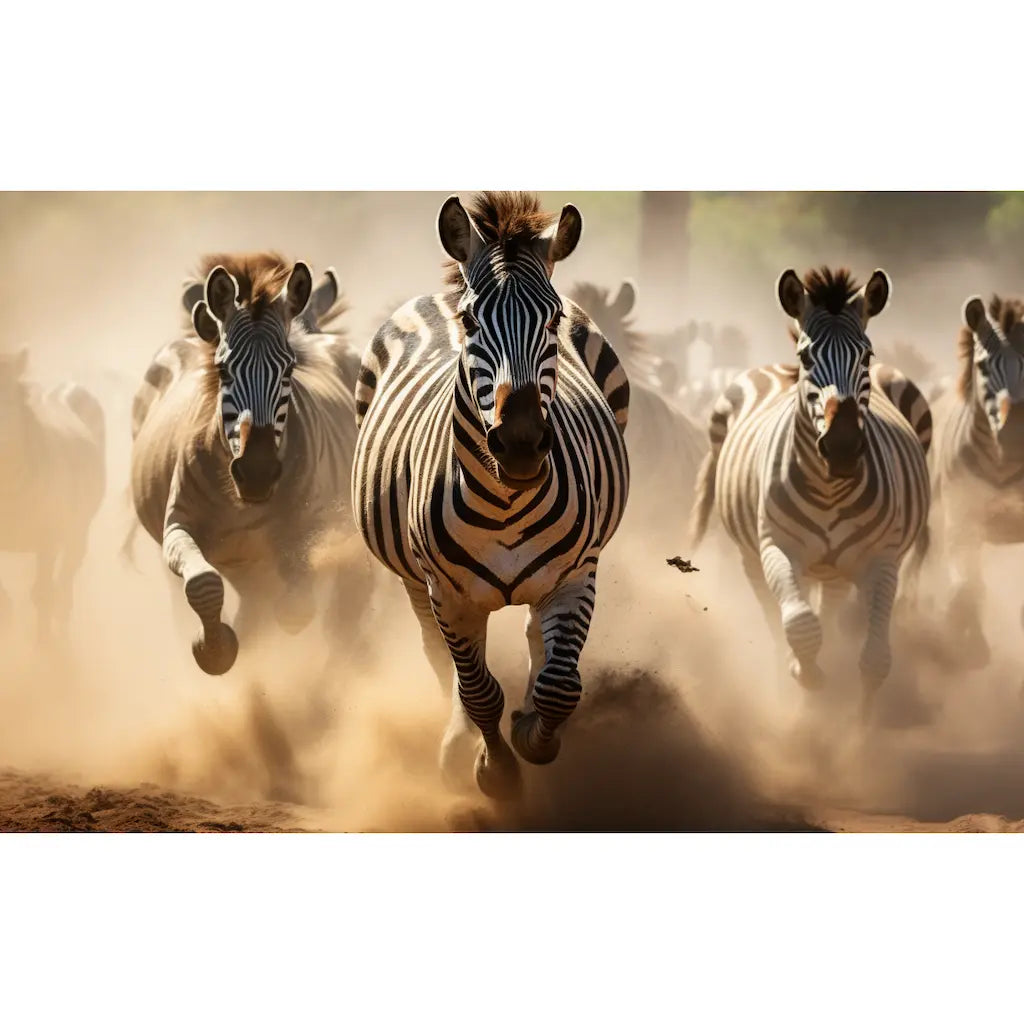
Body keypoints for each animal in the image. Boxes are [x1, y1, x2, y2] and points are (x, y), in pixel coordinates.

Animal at [129, 251, 363, 675]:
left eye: (289, 369)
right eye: (222, 369)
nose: (257, 473)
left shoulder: (309, 533)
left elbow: (294, 608)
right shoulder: (177, 527)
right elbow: (202, 584)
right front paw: (215, 648)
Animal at [352, 191, 630, 800]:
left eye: (552, 319)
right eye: (471, 320)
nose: (521, 445)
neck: (506, 505)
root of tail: (442, 287)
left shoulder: (577, 575)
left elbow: (560, 685)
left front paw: (531, 733)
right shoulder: (448, 593)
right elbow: (477, 691)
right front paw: (493, 769)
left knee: (534, 641)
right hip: (416, 582)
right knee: (441, 660)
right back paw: (456, 741)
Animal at [689, 267, 931, 716]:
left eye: (867, 355)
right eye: (806, 357)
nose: (843, 447)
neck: (831, 488)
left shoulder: (882, 559)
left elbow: (875, 659)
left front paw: (857, 724)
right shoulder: (779, 548)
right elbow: (800, 625)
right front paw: (808, 677)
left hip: (835, 566)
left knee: (830, 607)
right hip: (751, 554)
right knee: (773, 614)